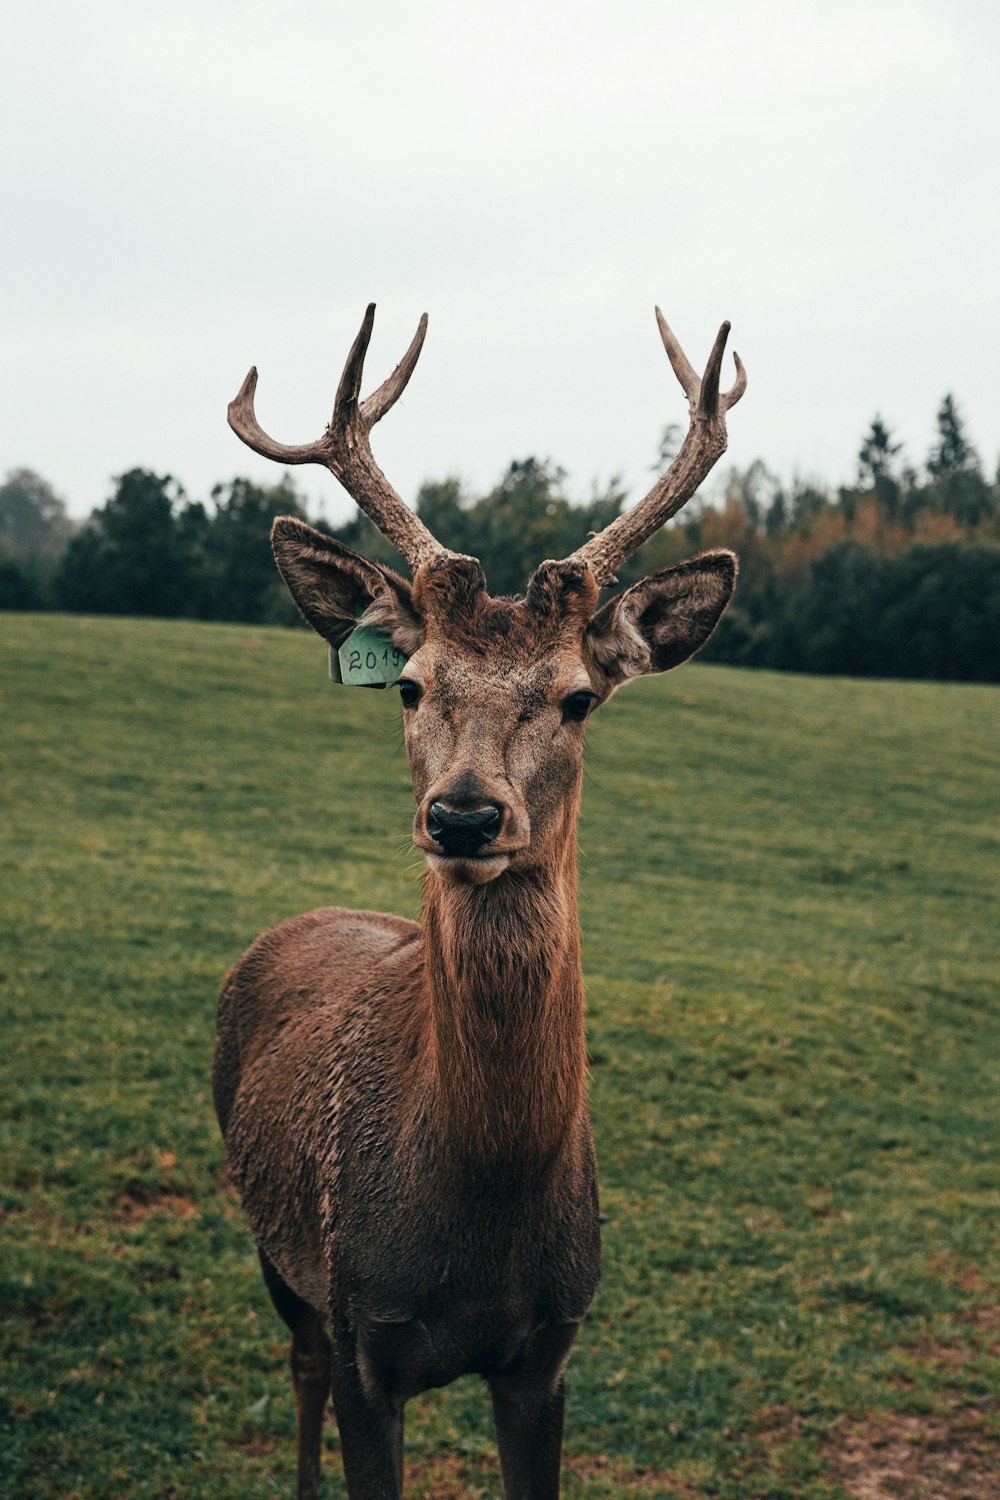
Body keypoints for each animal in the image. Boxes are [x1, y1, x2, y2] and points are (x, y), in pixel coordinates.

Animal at [211, 298, 743, 1494]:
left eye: (580, 697)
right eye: (409, 687)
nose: (463, 816)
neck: (481, 1211)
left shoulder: (551, 1347)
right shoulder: (365, 1327)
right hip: (273, 1241)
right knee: (296, 1363)